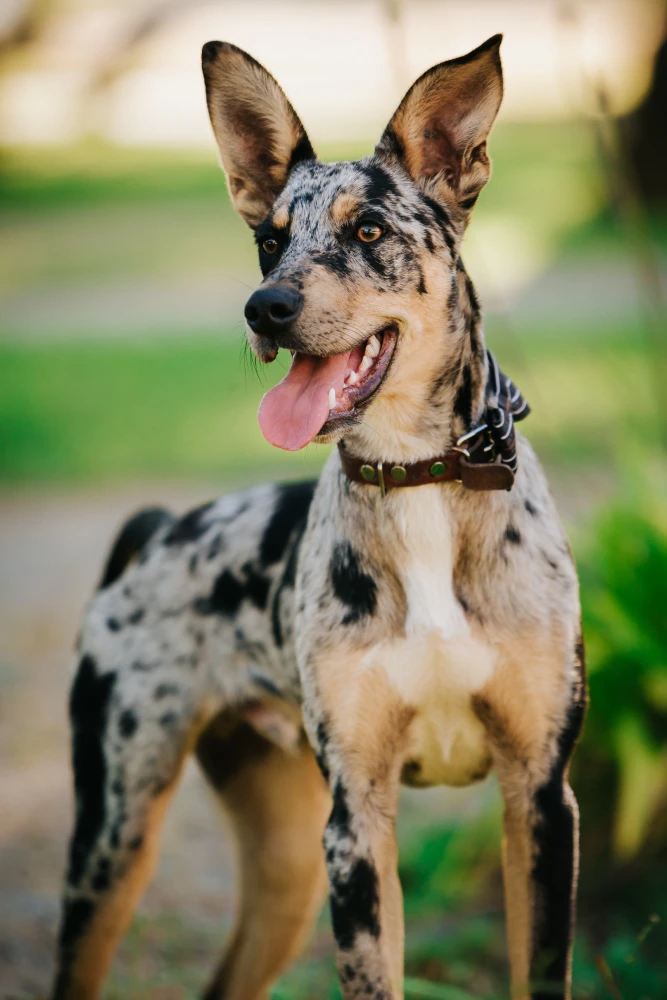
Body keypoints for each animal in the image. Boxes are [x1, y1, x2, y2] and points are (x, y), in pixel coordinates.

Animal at [51, 35, 584, 1000]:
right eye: (268, 241)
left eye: (366, 230)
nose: (264, 308)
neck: (417, 480)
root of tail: (156, 531)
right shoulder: (356, 824)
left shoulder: (540, 796)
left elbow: (542, 968)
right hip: (116, 831)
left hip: (284, 855)